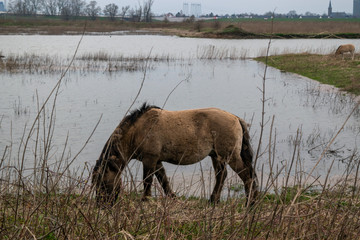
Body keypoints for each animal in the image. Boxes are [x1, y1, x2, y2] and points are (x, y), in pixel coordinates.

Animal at [91, 102, 258, 204]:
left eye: (101, 182)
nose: (101, 205)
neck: (139, 130)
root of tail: (236, 118)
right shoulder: (156, 161)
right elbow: (163, 180)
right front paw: (172, 197)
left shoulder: (149, 159)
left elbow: (147, 180)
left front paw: (145, 200)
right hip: (216, 157)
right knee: (221, 176)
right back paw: (213, 200)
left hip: (230, 156)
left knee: (247, 176)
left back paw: (250, 203)